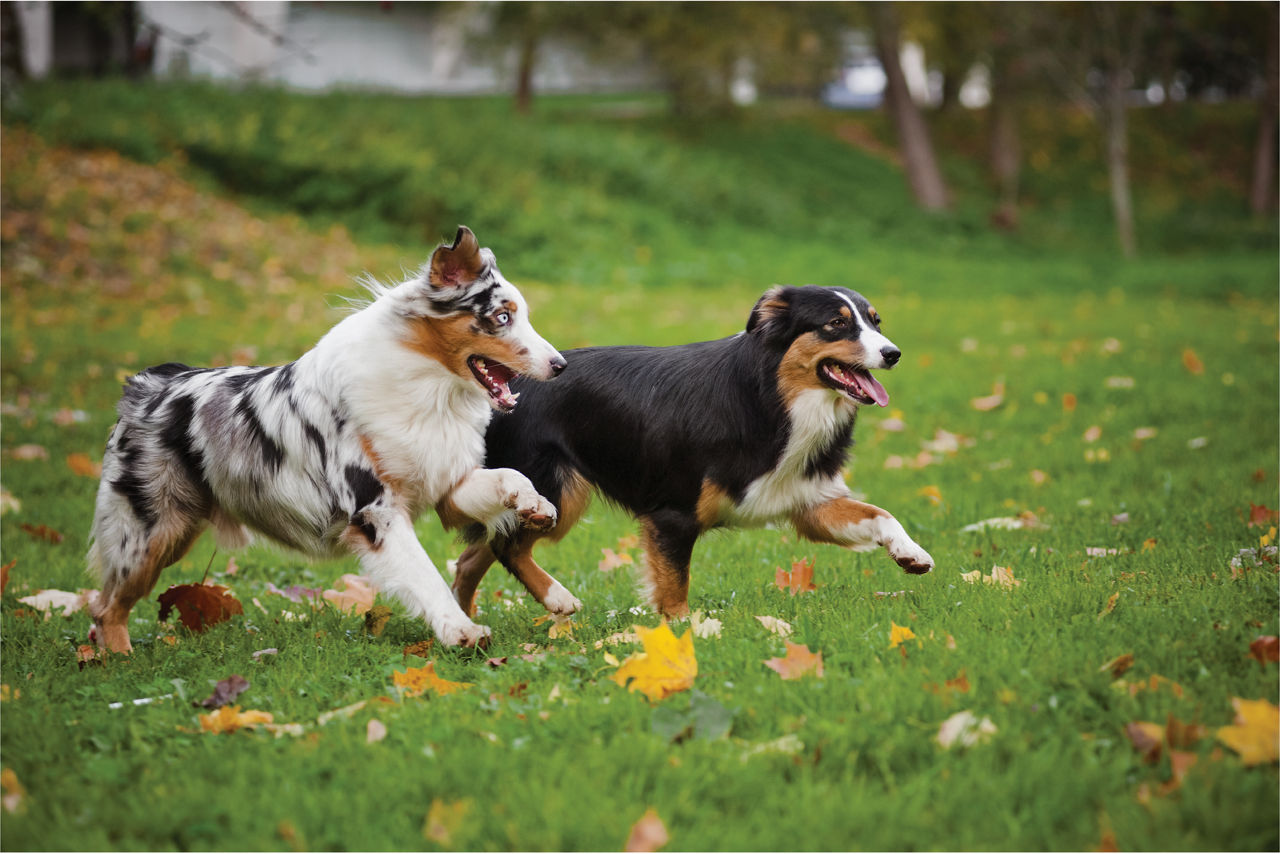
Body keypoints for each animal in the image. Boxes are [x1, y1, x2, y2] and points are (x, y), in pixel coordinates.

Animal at [450, 284, 931, 617]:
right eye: (836, 323)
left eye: (876, 322)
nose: (893, 353)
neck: (772, 396)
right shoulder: (672, 514)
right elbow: (674, 585)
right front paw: (687, 633)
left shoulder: (806, 499)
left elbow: (880, 513)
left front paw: (911, 552)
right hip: (552, 492)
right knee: (506, 547)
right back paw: (557, 600)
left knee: (475, 554)